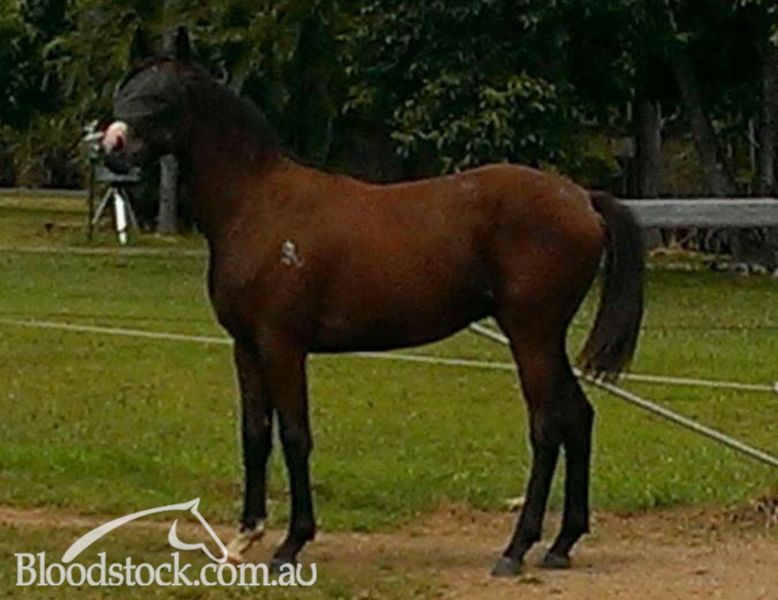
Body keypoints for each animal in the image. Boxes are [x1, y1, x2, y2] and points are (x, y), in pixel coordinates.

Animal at [102, 27, 645, 576]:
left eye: (163, 96)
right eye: (127, 87)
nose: (112, 148)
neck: (259, 206)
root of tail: (581, 199)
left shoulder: (282, 345)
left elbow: (295, 436)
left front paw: (290, 545)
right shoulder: (247, 346)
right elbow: (254, 434)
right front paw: (244, 537)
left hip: (531, 334)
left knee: (547, 427)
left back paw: (516, 550)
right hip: (546, 339)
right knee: (578, 417)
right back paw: (561, 544)